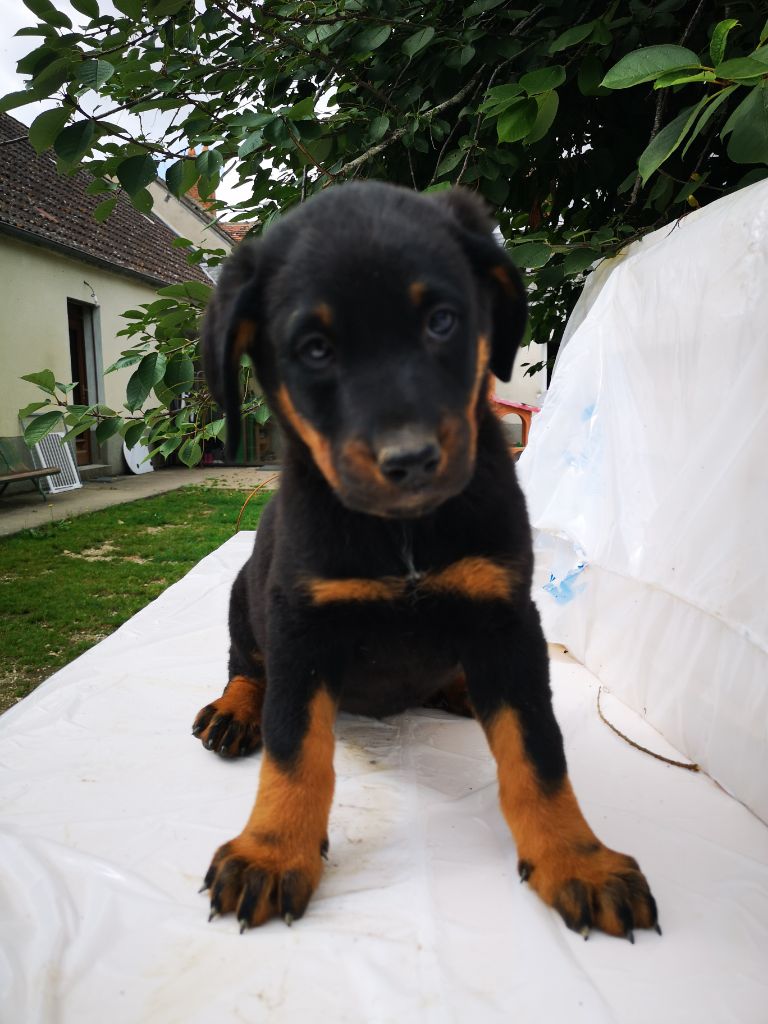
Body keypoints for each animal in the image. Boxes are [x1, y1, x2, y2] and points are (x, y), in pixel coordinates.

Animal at [192, 181, 659, 940]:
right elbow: (294, 749)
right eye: (314, 348)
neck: (403, 534)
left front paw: (577, 859)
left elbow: (537, 751)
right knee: (244, 665)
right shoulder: (301, 626)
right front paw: (273, 850)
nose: (410, 460)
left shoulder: (506, 619)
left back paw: (460, 688)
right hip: (242, 595)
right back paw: (235, 712)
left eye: (442, 320)